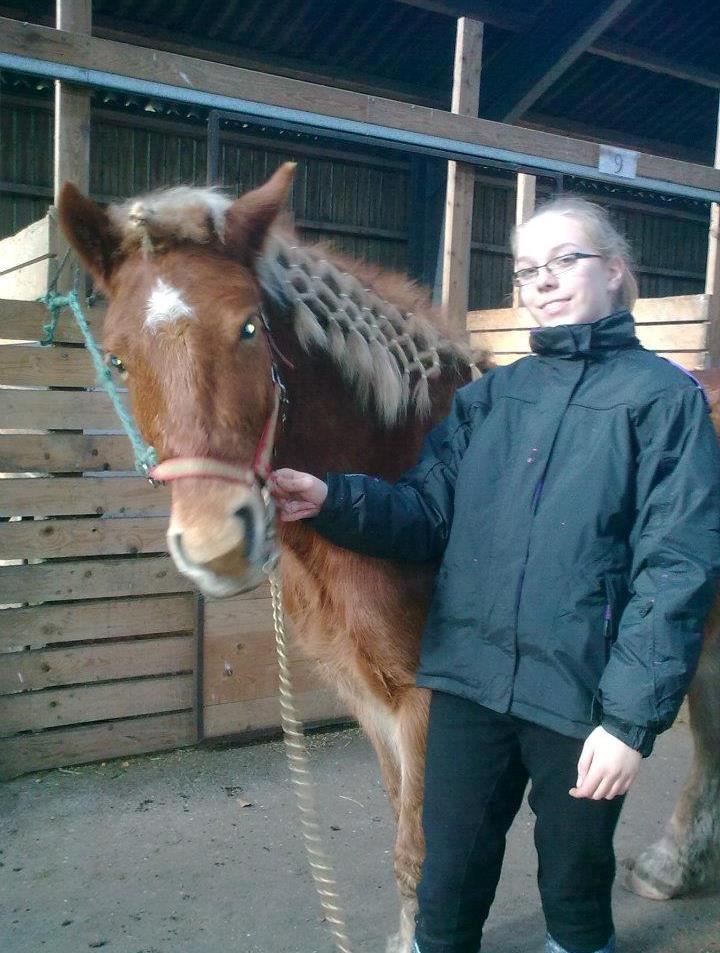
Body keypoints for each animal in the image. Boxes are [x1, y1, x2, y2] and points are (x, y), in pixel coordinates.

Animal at [59, 165, 716, 952]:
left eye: (248, 328)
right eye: (118, 356)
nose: (218, 545)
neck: (400, 457)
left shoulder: (429, 704)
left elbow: (423, 848)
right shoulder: (370, 699)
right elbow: (407, 842)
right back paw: (676, 866)